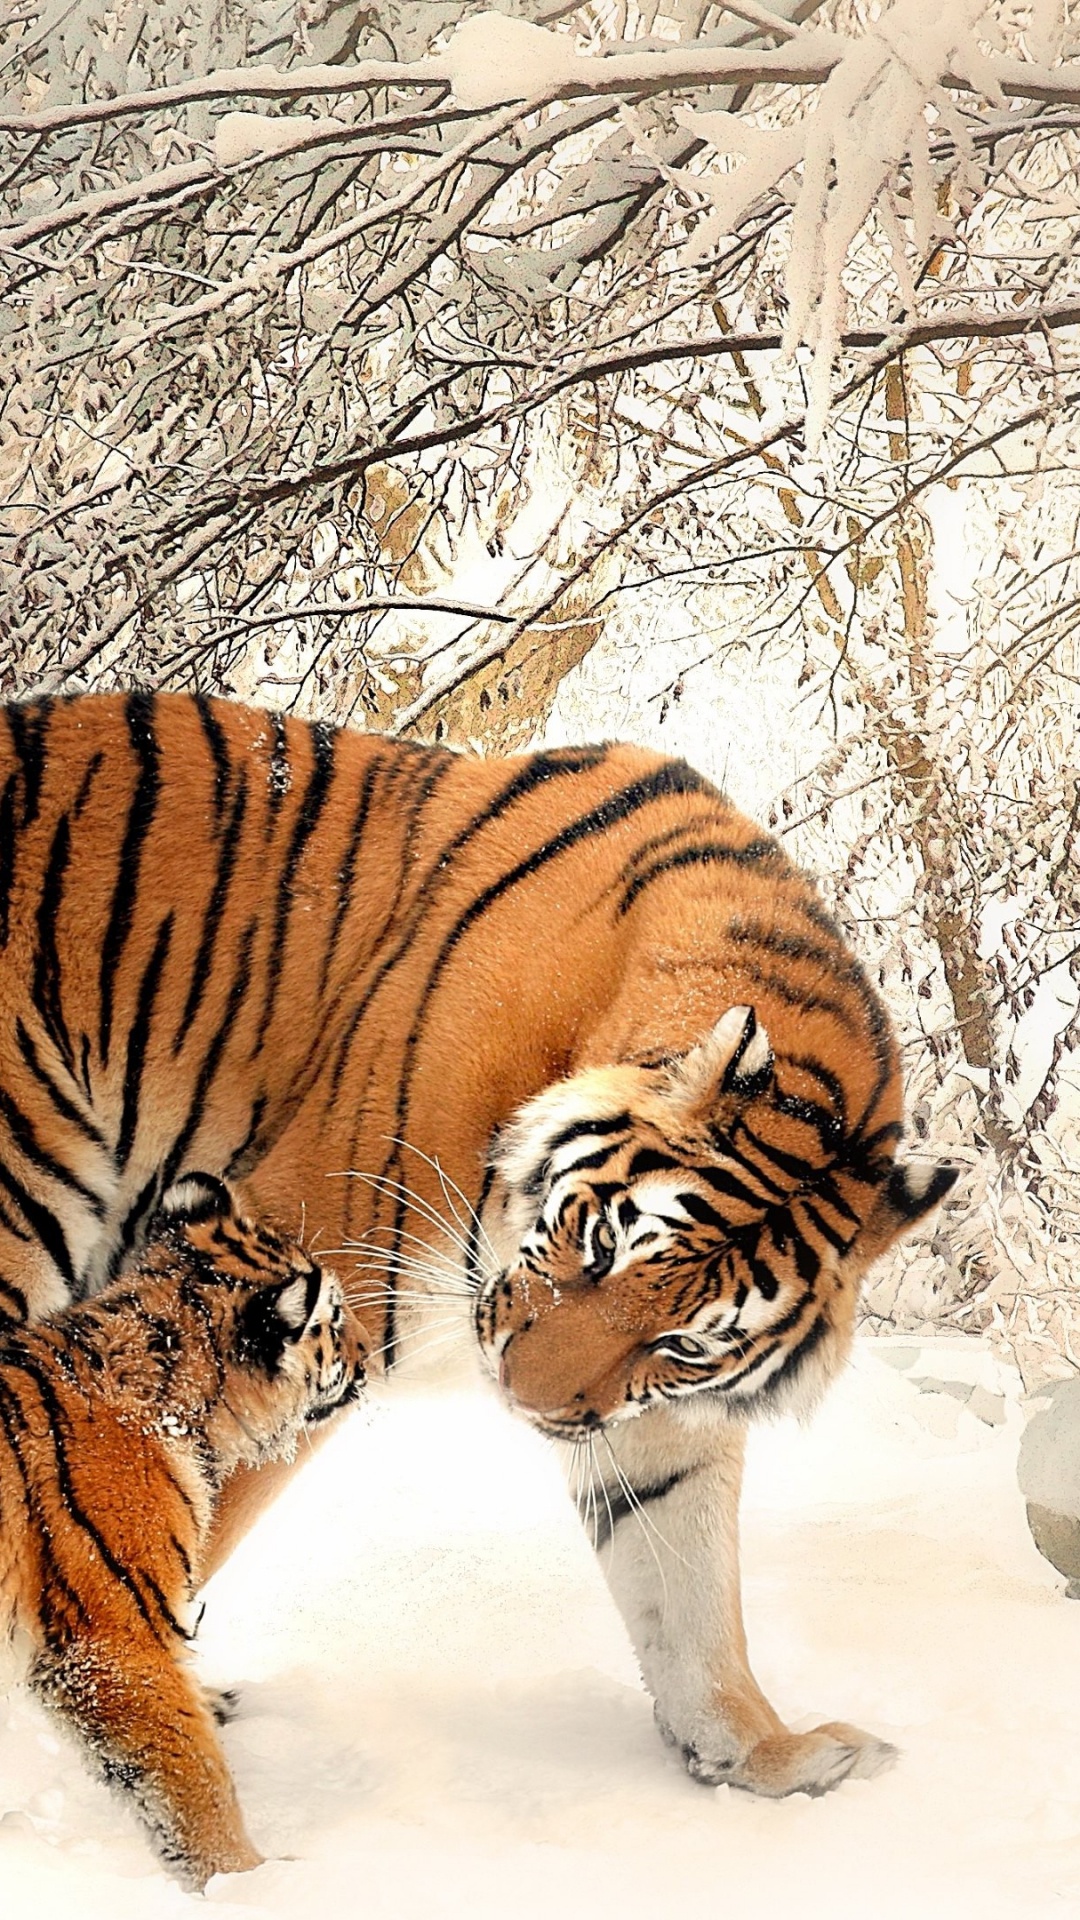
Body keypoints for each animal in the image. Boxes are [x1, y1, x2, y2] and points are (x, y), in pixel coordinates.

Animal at [0, 689, 956, 1800]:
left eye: (681, 1344)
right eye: (599, 1243)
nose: (525, 1401)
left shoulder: (651, 1415)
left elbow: (690, 1588)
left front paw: (765, 1753)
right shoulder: (301, 1272)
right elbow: (167, 1531)